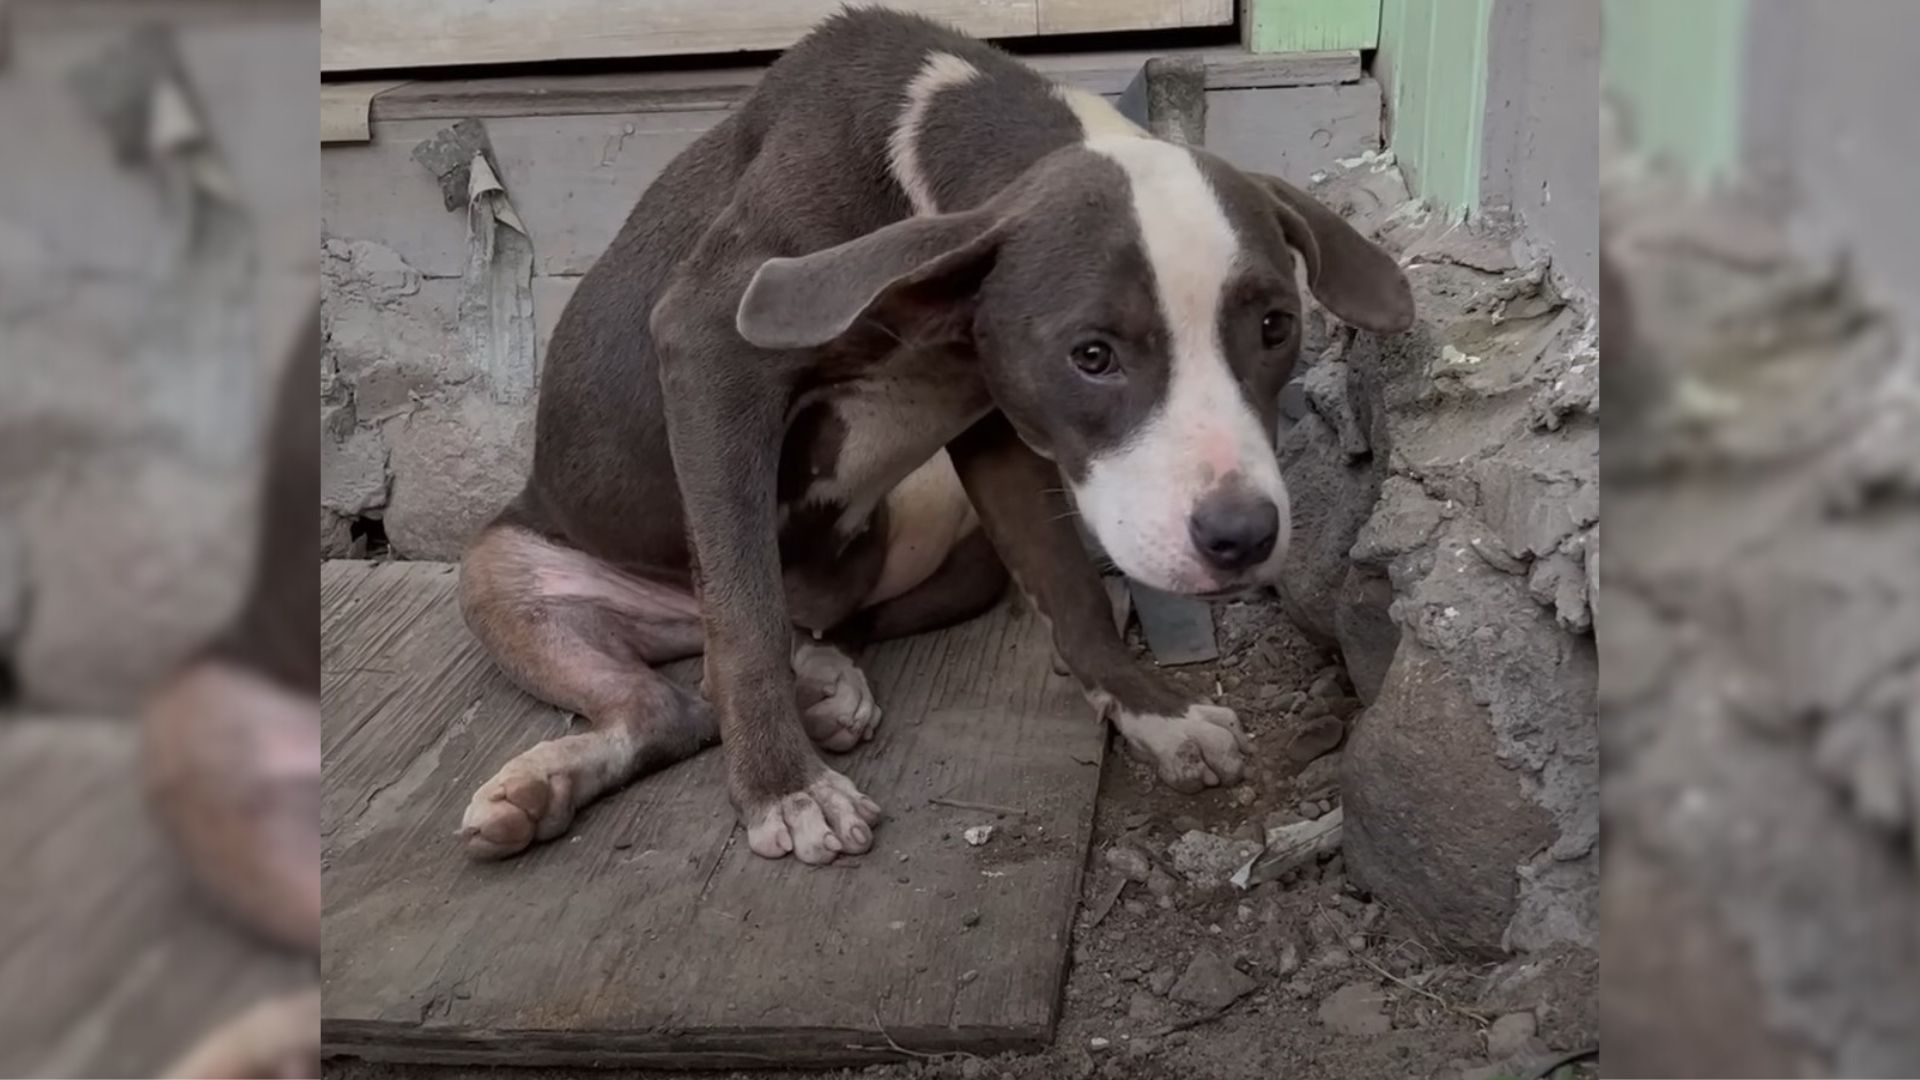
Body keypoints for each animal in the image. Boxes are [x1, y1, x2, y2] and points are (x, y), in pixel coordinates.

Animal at [451, 8, 1413, 864]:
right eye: (1091, 355)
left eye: (1276, 327)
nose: (1242, 537)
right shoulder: (709, 352)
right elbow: (743, 614)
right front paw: (783, 789)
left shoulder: (996, 424)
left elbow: (1072, 589)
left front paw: (1158, 717)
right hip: (504, 570)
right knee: (682, 687)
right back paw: (554, 780)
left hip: (933, 535)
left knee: (804, 637)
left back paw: (821, 679)